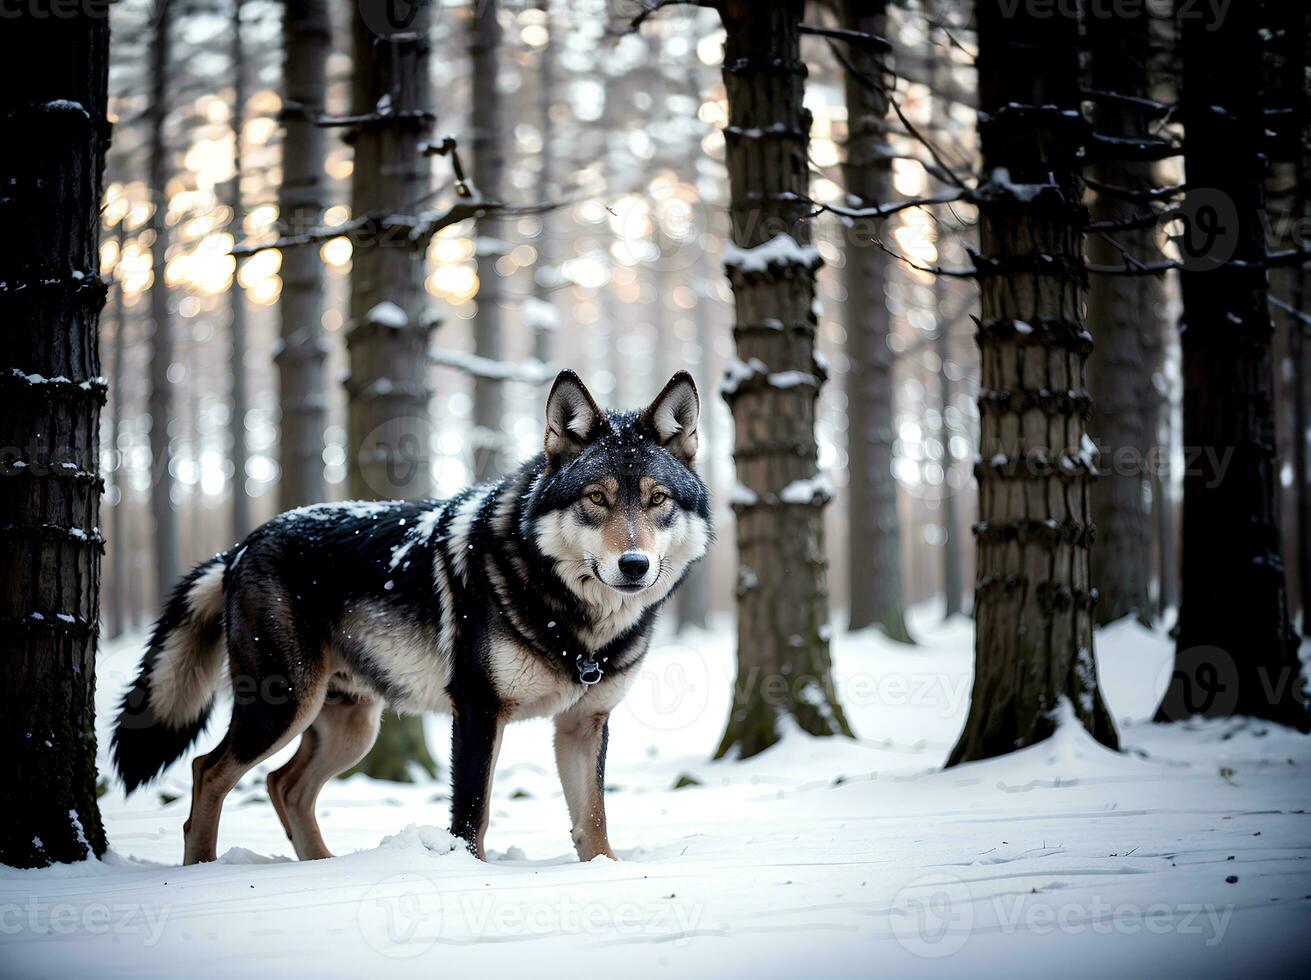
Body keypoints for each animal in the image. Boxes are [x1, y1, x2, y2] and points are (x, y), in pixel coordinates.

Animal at [111, 369, 707, 864]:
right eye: (596, 498)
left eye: (656, 499)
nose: (634, 565)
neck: (581, 626)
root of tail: (239, 547)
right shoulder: (477, 711)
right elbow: (471, 818)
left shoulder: (584, 725)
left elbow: (594, 822)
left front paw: (604, 874)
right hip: (282, 709)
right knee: (207, 770)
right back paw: (202, 869)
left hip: (351, 729)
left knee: (284, 786)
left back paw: (319, 867)